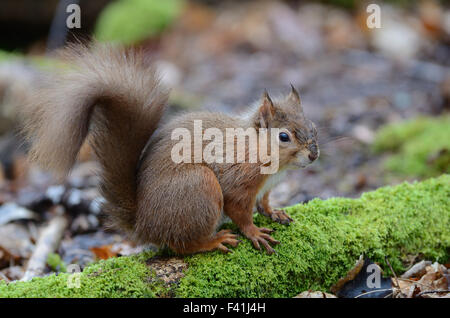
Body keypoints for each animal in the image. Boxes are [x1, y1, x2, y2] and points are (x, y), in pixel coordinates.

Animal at [19, 43, 318, 255]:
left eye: (313, 126)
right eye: (283, 136)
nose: (313, 155)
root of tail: (143, 224)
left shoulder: (266, 187)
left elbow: (264, 202)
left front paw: (275, 211)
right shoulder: (238, 181)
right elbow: (240, 211)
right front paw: (254, 232)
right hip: (199, 188)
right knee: (181, 246)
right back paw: (211, 241)